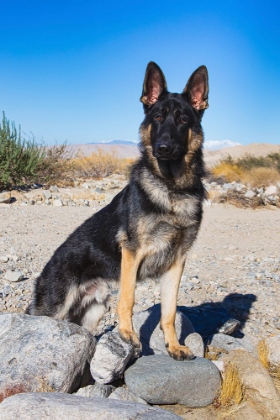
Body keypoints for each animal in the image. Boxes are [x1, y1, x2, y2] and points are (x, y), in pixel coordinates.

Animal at [26, 61, 208, 360]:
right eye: (158, 118)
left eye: (183, 120)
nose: (163, 148)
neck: (171, 188)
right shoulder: (132, 253)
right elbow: (128, 298)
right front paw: (127, 335)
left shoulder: (176, 262)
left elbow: (169, 312)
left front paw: (173, 346)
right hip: (54, 309)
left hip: (93, 312)